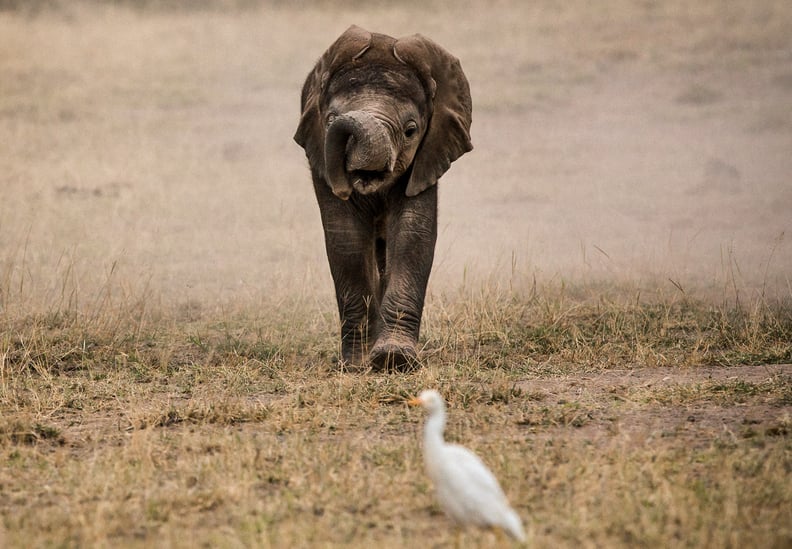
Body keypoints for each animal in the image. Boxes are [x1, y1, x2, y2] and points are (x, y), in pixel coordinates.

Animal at [296, 24, 470, 368]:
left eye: (411, 130)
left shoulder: (428, 155)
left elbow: (412, 233)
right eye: (329, 119)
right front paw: (356, 365)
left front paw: (394, 360)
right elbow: (346, 238)